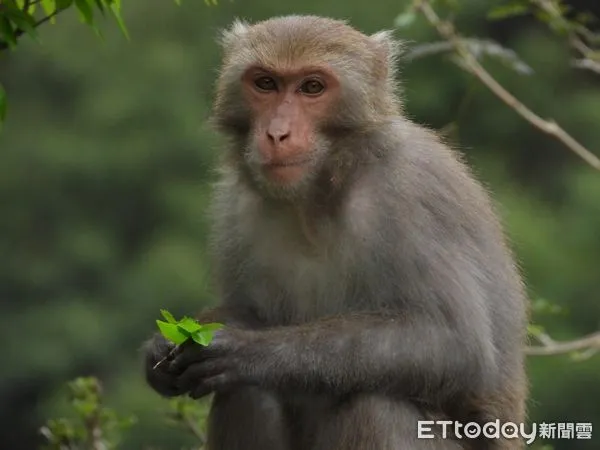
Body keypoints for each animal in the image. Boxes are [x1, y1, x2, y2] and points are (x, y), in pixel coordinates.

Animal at [143, 14, 528, 450]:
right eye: (265, 83)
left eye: (312, 87)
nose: (277, 134)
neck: (323, 190)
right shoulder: (233, 206)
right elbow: (242, 312)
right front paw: (160, 349)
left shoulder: (415, 192)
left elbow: (454, 343)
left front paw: (247, 352)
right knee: (246, 393)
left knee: (375, 405)